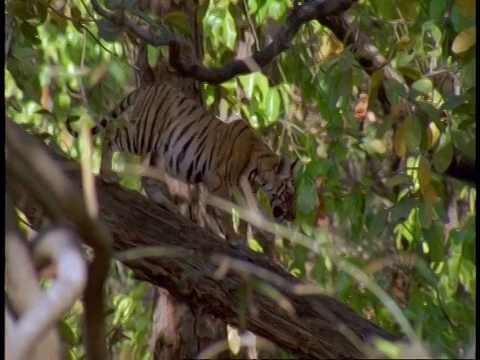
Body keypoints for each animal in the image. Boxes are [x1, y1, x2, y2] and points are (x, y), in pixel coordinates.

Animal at [65, 83, 298, 243]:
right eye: (290, 193)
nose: (292, 217)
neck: (256, 173)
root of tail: (149, 87)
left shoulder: (235, 188)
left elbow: (247, 211)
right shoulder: (220, 182)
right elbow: (223, 213)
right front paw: (233, 239)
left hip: (160, 152)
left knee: (147, 178)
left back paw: (167, 205)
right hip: (142, 136)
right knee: (110, 135)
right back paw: (107, 174)